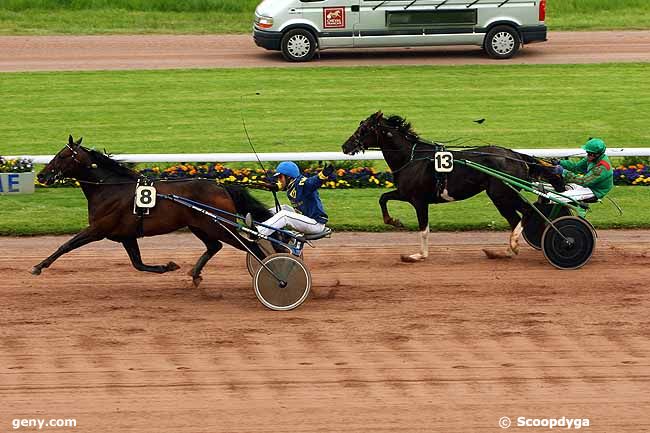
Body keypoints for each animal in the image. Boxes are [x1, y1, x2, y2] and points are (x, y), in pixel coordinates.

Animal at [32, 133, 270, 286]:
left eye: (62, 155)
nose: (42, 175)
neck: (110, 188)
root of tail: (221, 186)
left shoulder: (98, 229)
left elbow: (66, 245)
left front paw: (39, 266)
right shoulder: (126, 235)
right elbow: (138, 264)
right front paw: (168, 266)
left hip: (218, 226)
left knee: (251, 247)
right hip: (200, 226)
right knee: (214, 246)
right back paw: (195, 274)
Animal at [340, 111, 560, 260]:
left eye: (363, 129)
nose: (345, 146)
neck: (412, 158)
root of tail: (516, 155)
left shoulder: (419, 200)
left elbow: (423, 228)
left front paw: (419, 255)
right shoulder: (405, 193)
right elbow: (383, 198)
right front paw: (394, 221)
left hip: (502, 194)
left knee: (527, 211)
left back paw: (514, 244)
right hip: (501, 196)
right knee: (515, 219)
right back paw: (504, 251)